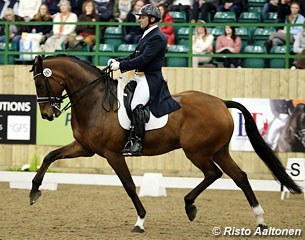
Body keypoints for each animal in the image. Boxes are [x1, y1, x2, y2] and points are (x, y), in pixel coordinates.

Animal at [29, 54, 300, 232]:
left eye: (41, 83)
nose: (47, 115)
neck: (95, 101)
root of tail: (221, 103)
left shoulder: (112, 153)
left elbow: (129, 186)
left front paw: (140, 221)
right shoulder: (86, 149)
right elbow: (50, 156)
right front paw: (34, 192)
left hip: (197, 151)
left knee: (214, 174)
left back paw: (190, 206)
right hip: (219, 151)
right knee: (239, 176)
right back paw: (260, 220)